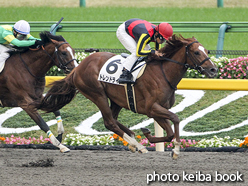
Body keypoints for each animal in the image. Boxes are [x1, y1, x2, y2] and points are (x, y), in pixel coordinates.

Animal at [39, 35, 217, 158]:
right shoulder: (152, 108)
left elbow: (170, 133)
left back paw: (134, 141)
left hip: (116, 99)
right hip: (97, 94)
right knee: (109, 122)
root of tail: (77, 68)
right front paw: (176, 151)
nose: (213, 69)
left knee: (113, 118)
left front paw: (148, 134)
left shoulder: (158, 110)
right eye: (196, 52)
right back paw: (137, 144)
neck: (163, 73)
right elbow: (175, 119)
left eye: (207, 51)